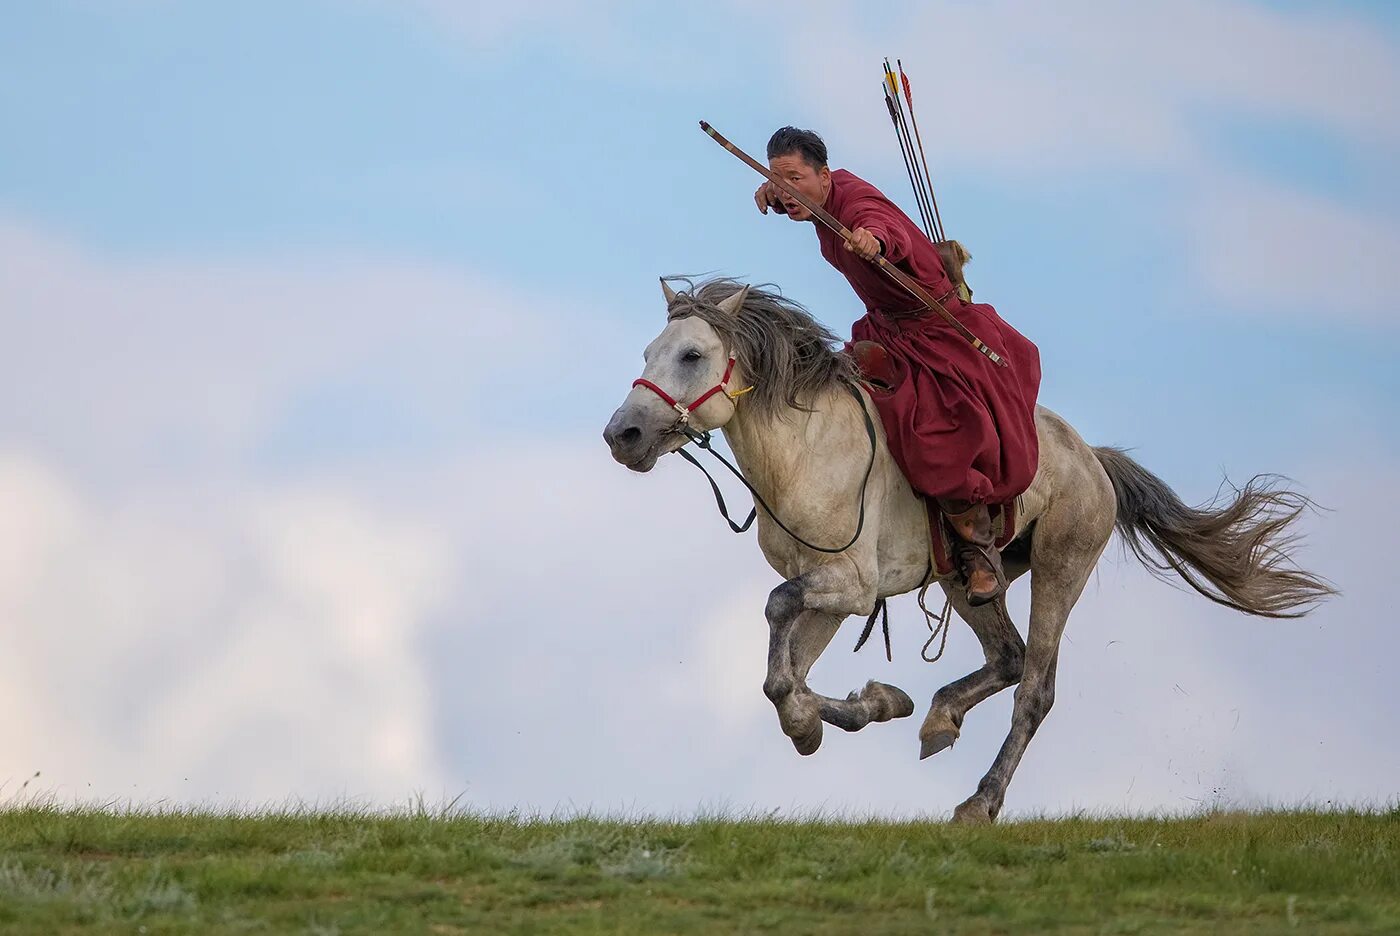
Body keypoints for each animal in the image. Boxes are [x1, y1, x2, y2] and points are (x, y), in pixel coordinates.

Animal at [602, 275, 1332, 817]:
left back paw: (981, 802)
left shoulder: (849, 586)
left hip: (1061, 568)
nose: (622, 435)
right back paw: (937, 718)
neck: (804, 450)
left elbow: (779, 621)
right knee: (1006, 658)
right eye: (648, 354)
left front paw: (828, 716)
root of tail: (1091, 459)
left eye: (692, 355)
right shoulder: (834, 594)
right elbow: (788, 676)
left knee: (1035, 688)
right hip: (967, 576)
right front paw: (860, 709)